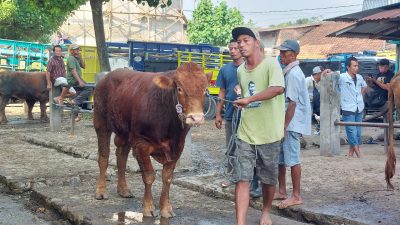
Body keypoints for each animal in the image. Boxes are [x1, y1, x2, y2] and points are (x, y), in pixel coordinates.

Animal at [94, 62, 212, 218]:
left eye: (205, 90)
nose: (196, 118)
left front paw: (166, 208)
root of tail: (107, 76)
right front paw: (149, 207)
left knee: (121, 157)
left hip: (125, 132)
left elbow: (167, 177)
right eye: (179, 88)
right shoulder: (141, 143)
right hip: (101, 123)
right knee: (103, 157)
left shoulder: (178, 147)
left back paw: (124, 189)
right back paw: (101, 191)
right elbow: (149, 175)